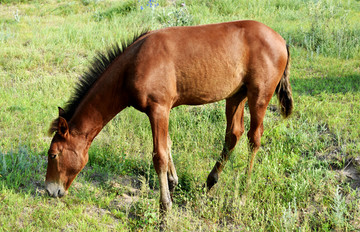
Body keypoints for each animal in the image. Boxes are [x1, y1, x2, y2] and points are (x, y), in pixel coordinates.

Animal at [45, 20, 292, 212]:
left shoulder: (158, 108)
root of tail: (281, 40)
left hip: (259, 96)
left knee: (254, 138)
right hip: (236, 95)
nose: (50, 190)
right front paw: (173, 183)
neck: (134, 64)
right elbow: (168, 144)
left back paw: (243, 194)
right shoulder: (163, 110)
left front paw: (165, 205)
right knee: (233, 134)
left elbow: (159, 155)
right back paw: (210, 181)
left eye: (53, 155)